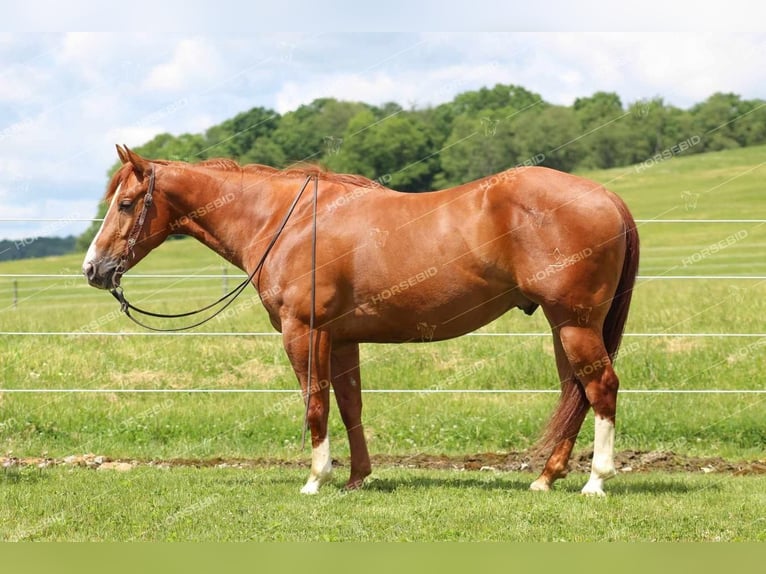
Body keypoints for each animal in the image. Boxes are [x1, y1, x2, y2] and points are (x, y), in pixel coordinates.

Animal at [81, 146, 640, 498]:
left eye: (126, 204)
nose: (93, 269)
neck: (288, 220)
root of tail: (607, 197)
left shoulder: (303, 333)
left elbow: (315, 405)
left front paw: (315, 479)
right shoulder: (342, 338)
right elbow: (350, 405)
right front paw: (356, 477)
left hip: (574, 323)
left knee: (601, 388)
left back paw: (596, 481)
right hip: (563, 326)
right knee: (575, 391)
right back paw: (547, 477)